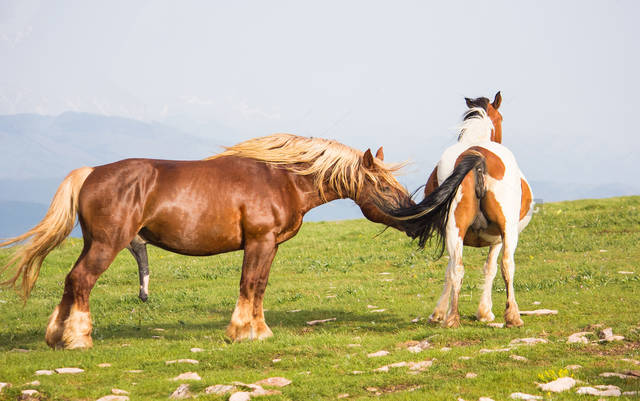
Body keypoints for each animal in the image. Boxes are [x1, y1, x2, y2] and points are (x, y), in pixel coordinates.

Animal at [2, 134, 412, 346]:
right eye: (382, 185)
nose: (412, 215)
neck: (282, 179)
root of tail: (90, 173)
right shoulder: (259, 242)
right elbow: (249, 284)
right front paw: (241, 331)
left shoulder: (270, 246)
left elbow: (260, 286)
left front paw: (259, 331)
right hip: (106, 245)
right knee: (82, 280)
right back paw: (79, 338)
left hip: (93, 243)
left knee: (70, 281)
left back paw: (58, 336)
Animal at [388, 93, 532, 328]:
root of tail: (477, 155)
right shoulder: (497, 239)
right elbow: (491, 268)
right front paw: (484, 312)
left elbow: (454, 269)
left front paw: (441, 313)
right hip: (505, 231)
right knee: (506, 265)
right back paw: (512, 316)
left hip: (455, 229)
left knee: (457, 267)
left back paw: (452, 318)